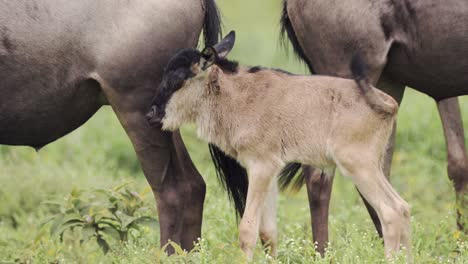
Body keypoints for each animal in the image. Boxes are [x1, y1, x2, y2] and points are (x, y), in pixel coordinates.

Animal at [145, 32, 410, 260]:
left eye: (177, 80)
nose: (151, 114)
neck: (236, 95)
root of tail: (386, 102)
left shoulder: (260, 167)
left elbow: (247, 229)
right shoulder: (270, 170)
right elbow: (268, 232)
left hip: (357, 166)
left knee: (390, 212)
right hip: (372, 166)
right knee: (403, 208)